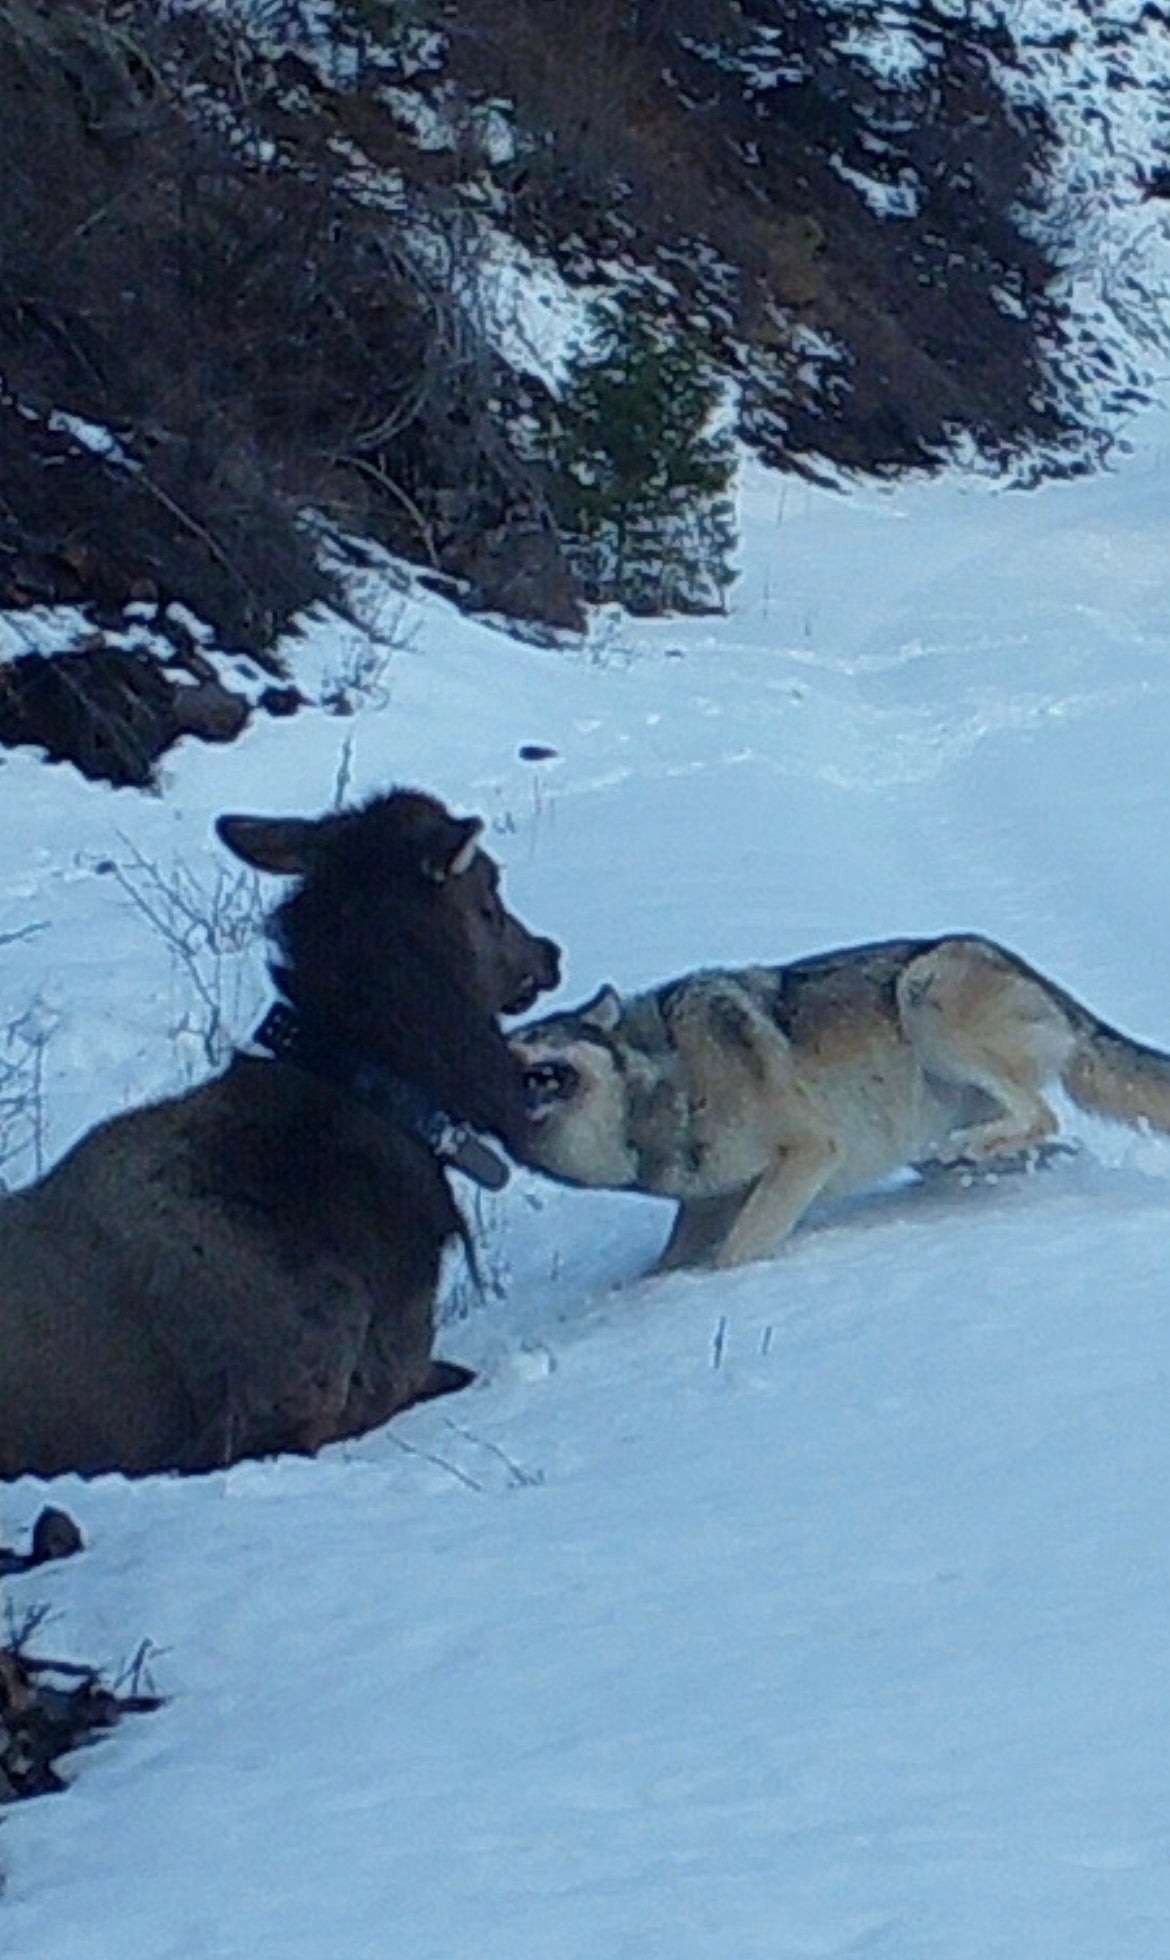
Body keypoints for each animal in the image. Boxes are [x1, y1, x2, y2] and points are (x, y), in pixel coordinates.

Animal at [517, 932, 1168, 1270]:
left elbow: (734, 1255)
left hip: (922, 993)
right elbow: (664, 1265)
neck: (662, 1084)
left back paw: (968, 1146)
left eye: (538, 1042)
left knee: (1041, 1114)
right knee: (1046, 1140)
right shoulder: (704, 1202)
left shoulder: (809, 1151)